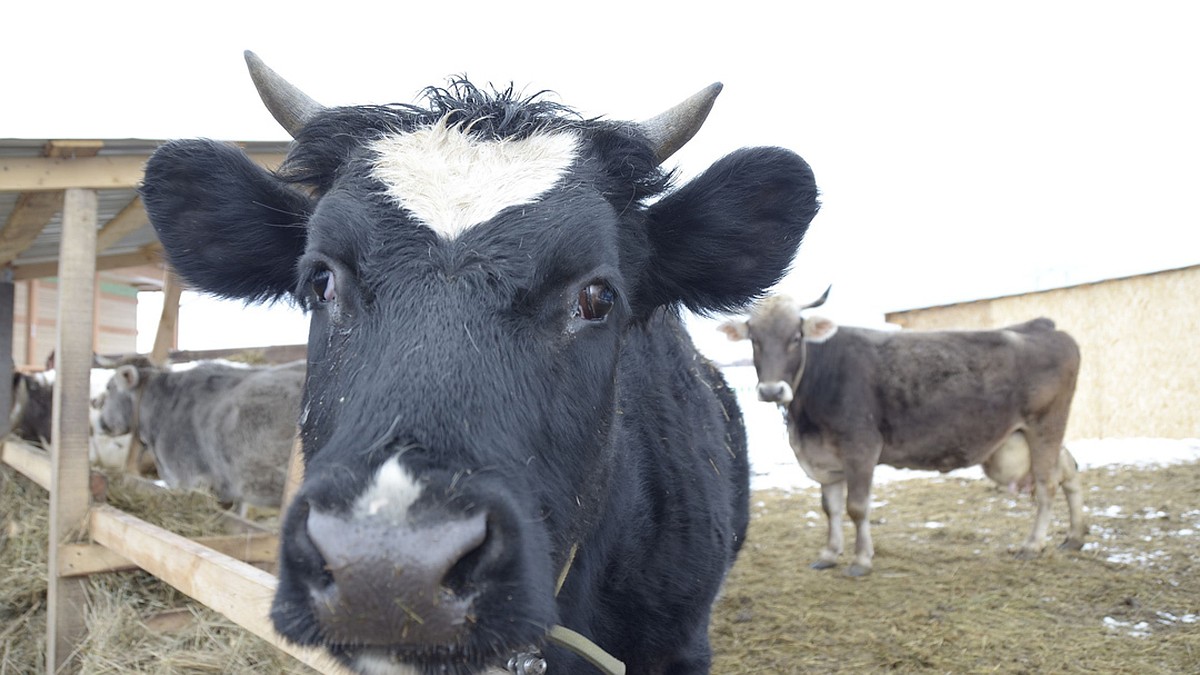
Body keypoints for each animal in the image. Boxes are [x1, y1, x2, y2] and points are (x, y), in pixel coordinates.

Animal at [720, 291, 1089, 576]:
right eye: (754, 339)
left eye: (795, 338)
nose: (771, 390)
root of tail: (1040, 324)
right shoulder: (825, 458)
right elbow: (831, 508)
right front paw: (828, 554)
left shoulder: (860, 448)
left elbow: (857, 507)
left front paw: (861, 560)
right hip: (1028, 436)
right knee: (1069, 470)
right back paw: (1074, 537)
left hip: (1045, 426)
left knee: (1047, 485)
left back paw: (1033, 544)